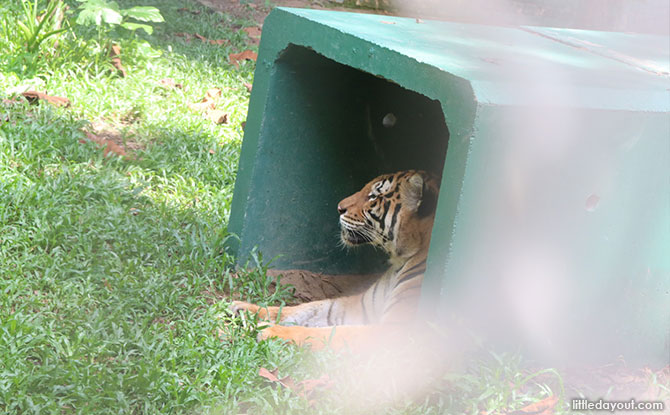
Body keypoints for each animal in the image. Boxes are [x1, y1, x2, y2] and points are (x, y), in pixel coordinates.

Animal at [231, 170, 440, 352]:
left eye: (374, 197)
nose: (339, 207)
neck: (400, 261)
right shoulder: (360, 307)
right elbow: (305, 308)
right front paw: (245, 308)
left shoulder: (394, 330)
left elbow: (329, 333)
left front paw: (268, 330)